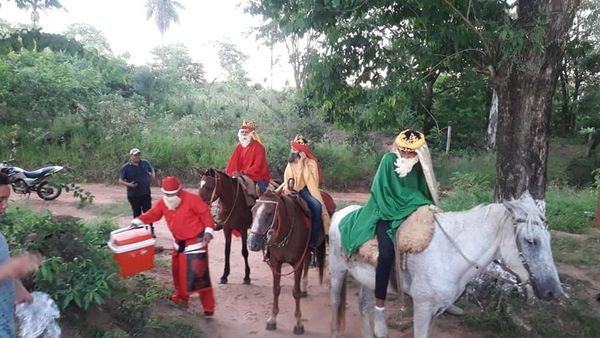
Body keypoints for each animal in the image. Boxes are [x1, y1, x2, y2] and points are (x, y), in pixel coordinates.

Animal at [247, 190, 336, 336]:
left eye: (269, 213)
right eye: (253, 210)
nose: (252, 243)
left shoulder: (296, 264)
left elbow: (295, 292)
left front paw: (298, 323)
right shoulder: (276, 263)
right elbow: (276, 289)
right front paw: (272, 319)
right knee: (308, 260)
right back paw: (305, 289)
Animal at [328, 193, 564, 338]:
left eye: (549, 238)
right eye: (531, 241)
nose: (553, 291)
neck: (449, 254)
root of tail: (340, 213)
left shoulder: (437, 310)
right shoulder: (422, 307)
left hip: (368, 279)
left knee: (364, 305)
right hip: (337, 272)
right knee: (336, 302)